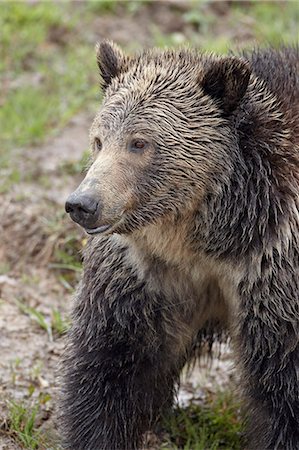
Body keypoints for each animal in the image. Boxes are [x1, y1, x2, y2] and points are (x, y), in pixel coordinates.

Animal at [63, 42, 299, 450]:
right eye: (99, 140)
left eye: (140, 142)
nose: (83, 204)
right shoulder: (148, 272)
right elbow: (114, 361)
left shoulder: (271, 269)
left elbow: (282, 385)